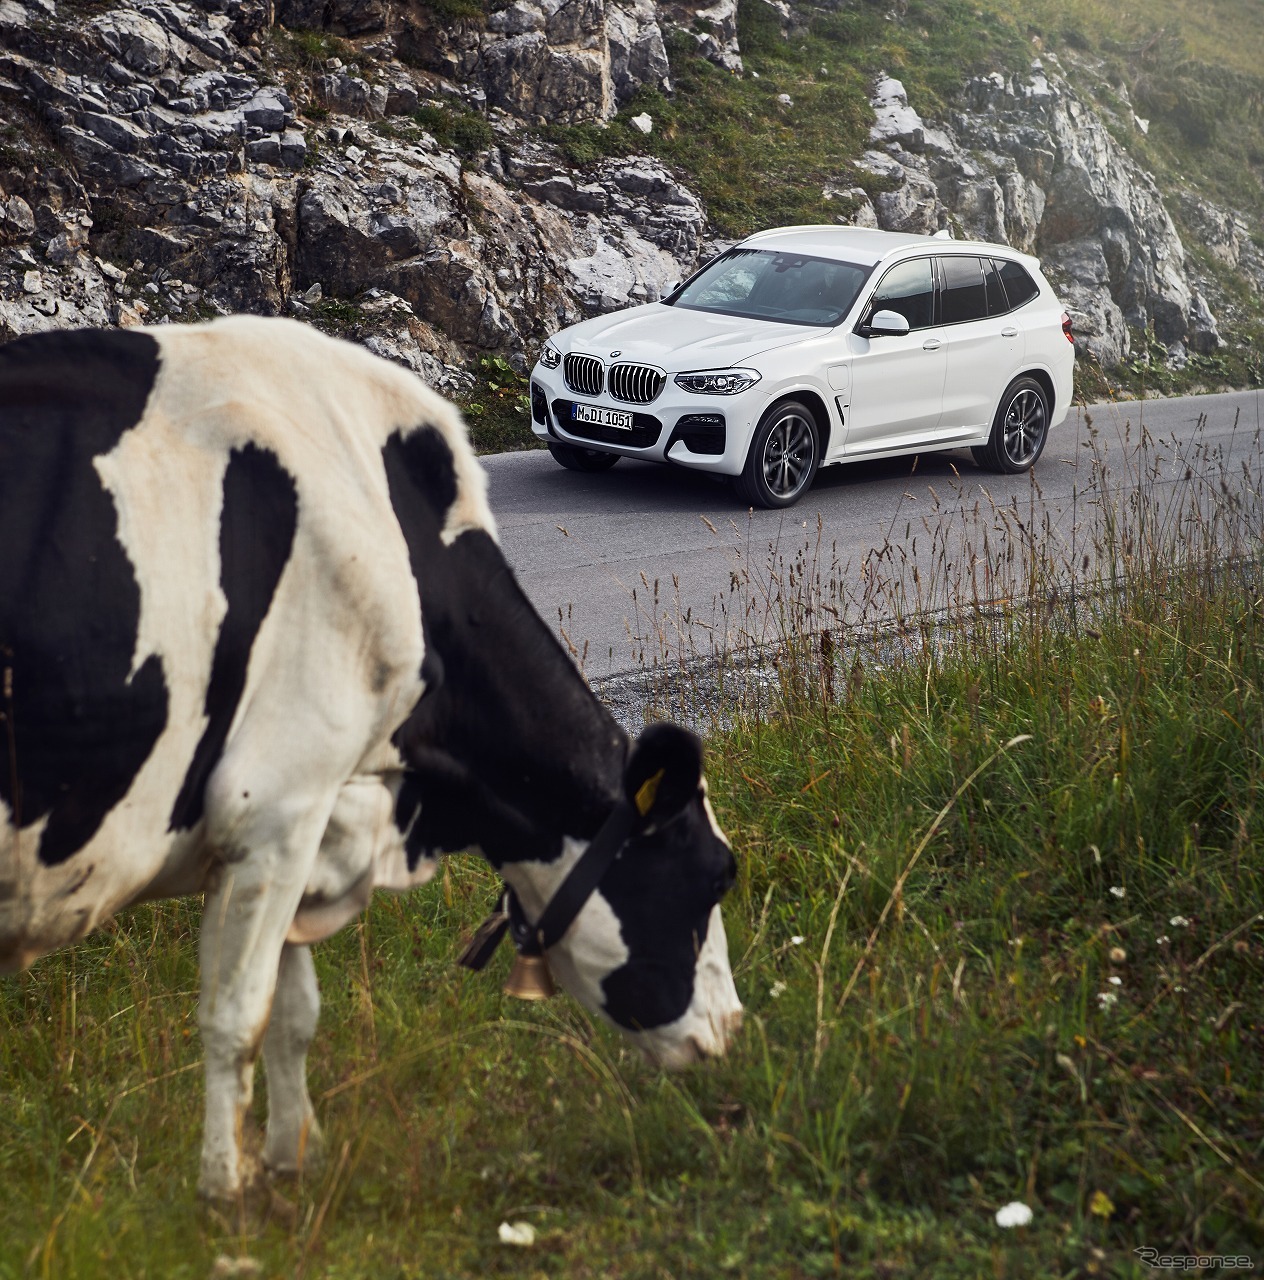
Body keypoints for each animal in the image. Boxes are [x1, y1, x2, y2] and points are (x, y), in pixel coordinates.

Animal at [0, 317, 742, 1198]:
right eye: (715, 876)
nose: (732, 1026)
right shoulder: (274, 807)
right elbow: (237, 1017)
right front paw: (226, 1193)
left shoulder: (307, 821)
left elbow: (294, 1014)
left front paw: (295, 1163)